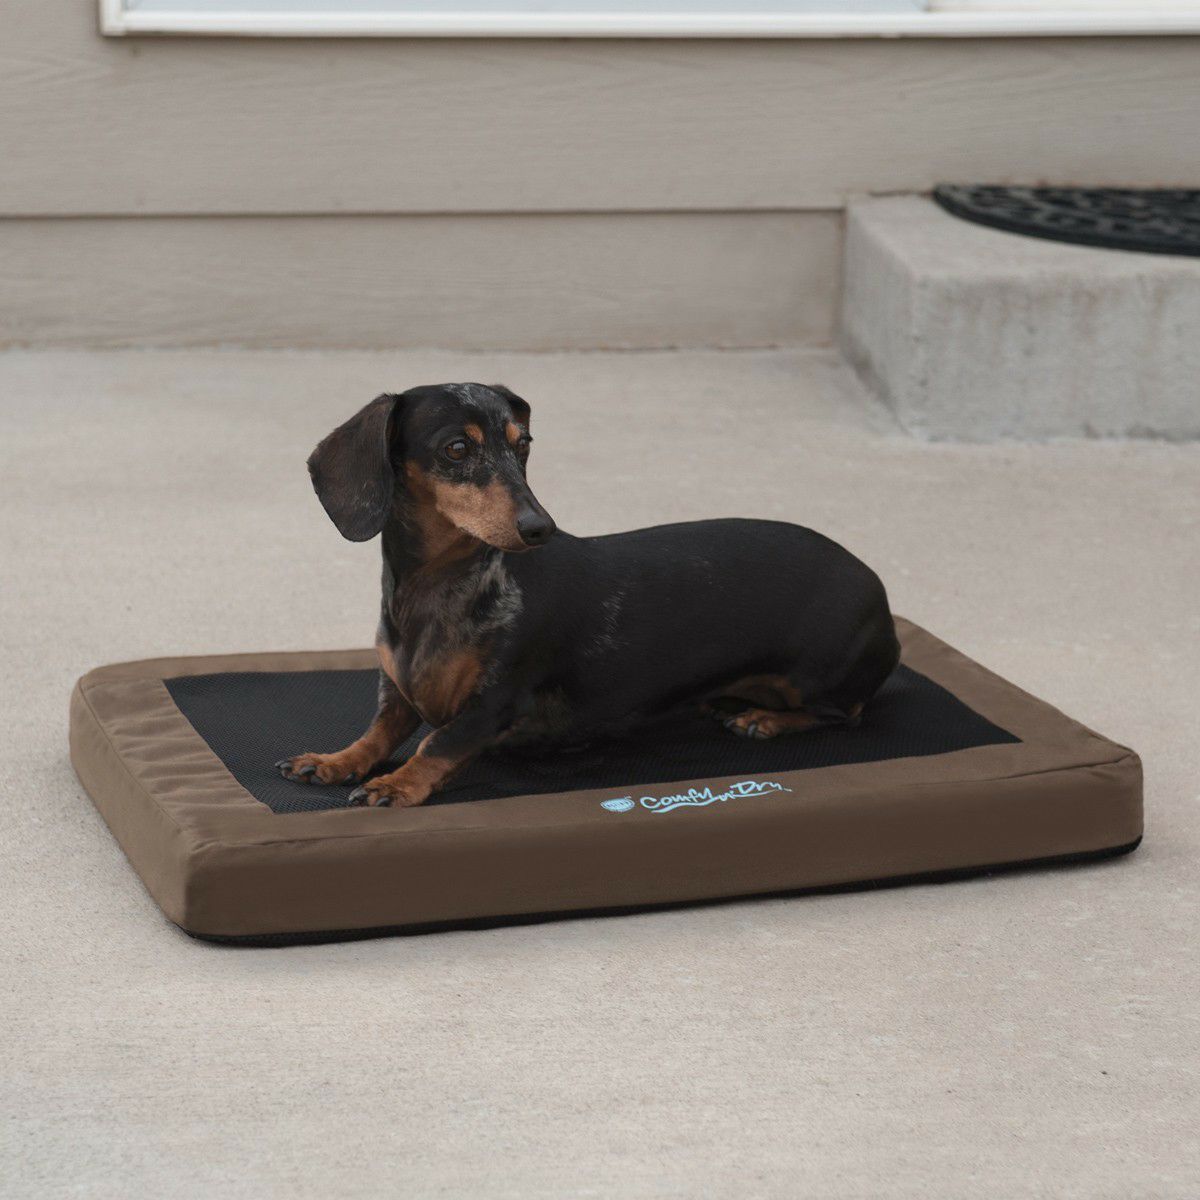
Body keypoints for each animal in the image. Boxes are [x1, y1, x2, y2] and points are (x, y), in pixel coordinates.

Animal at [276, 383, 900, 807]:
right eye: (456, 448)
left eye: (523, 444)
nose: (540, 528)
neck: (437, 590)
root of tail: (878, 588)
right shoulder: (398, 693)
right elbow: (378, 731)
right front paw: (335, 761)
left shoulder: (496, 703)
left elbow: (440, 743)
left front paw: (397, 783)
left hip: (818, 676)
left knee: (845, 712)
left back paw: (763, 720)